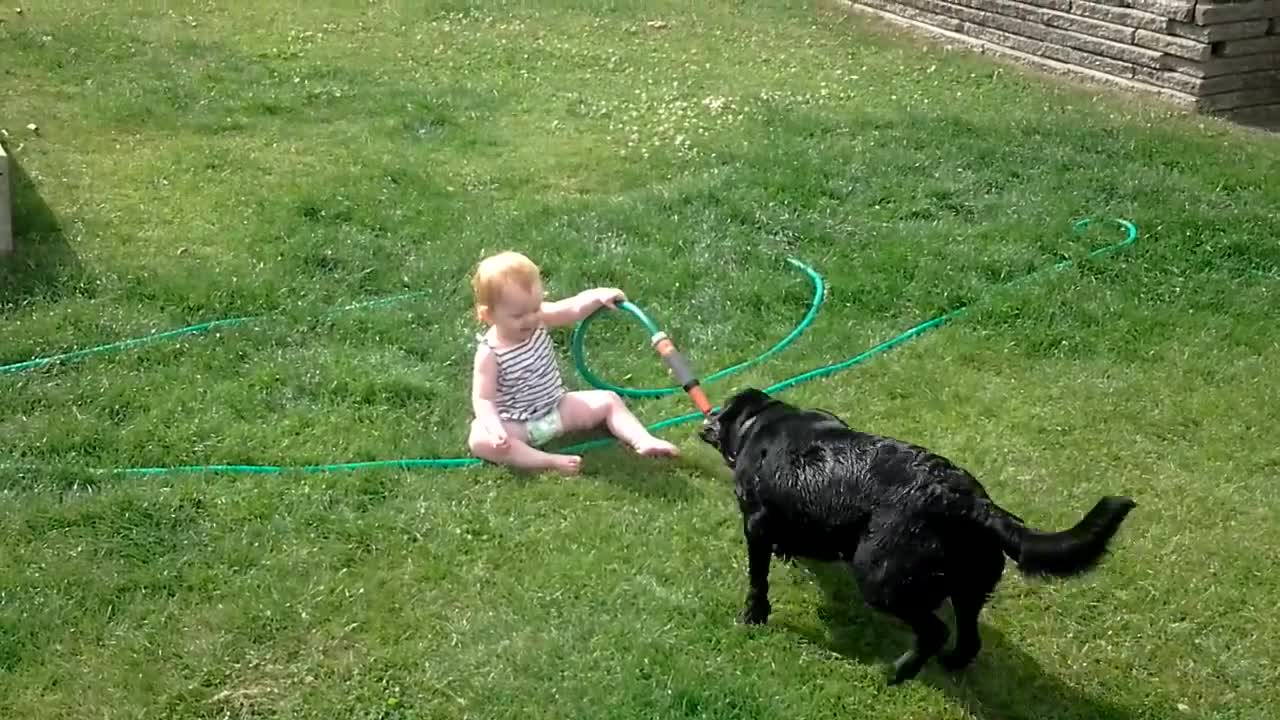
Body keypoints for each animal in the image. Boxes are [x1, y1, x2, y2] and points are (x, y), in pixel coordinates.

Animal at [701, 386, 1141, 681]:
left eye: (720, 414)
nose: (706, 420)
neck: (763, 423)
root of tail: (970, 502)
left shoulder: (755, 525)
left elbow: (757, 580)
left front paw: (754, 615)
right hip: (969, 585)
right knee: (967, 638)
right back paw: (950, 664)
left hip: (881, 578)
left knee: (935, 630)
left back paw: (898, 672)